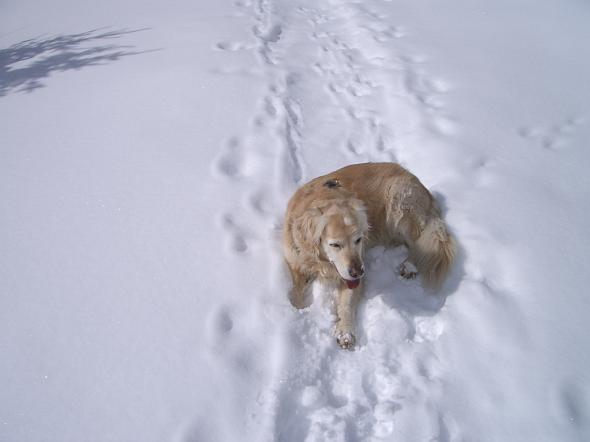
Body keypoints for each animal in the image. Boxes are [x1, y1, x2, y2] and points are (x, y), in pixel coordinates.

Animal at [282, 162, 456, 349]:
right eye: (335, 244)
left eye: (358, 240)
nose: (358, 272)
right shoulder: (295, 261)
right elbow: (297, 291)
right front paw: (298, 310)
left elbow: (346, 304)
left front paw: (345, 332)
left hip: (398, 204)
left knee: (420, 241)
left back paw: (409, 266)